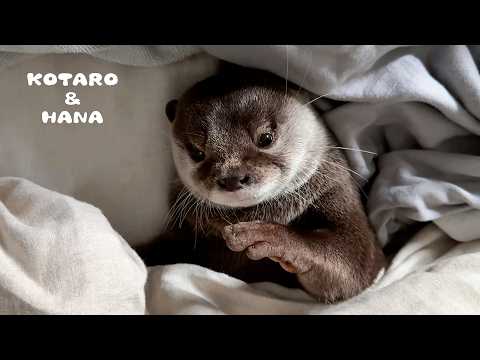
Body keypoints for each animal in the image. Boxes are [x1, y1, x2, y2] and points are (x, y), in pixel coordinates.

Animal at [140, 64, 386, 304]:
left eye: (265, 138)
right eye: (197, 153)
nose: (232, 177)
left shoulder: (336, 189)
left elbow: (355, 266)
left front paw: (263, 236)